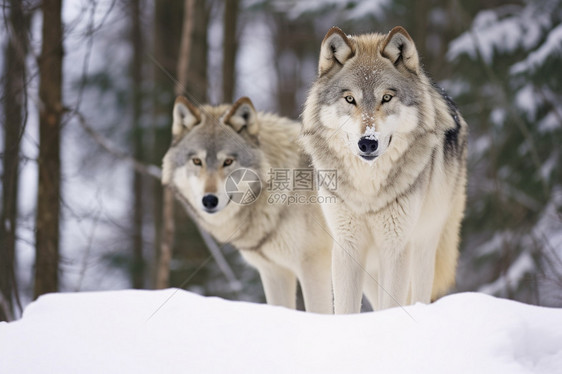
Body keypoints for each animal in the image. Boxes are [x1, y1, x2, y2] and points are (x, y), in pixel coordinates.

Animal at [300, 24, 466, 314]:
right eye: (350, 99)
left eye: (386, 97)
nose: (368, 142)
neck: (368, 188)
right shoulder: (347, 246)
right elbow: (346, 308)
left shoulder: (396, 246)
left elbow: (393, 304)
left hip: (424, 246)